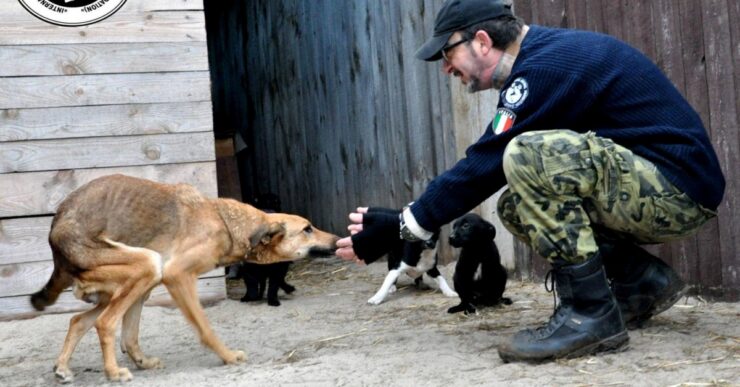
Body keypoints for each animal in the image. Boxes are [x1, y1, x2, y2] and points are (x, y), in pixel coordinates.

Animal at [30, 176, 338, 384]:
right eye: (307, 228)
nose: (337, 239)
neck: (225, 221)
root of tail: (55, 229)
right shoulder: (178, 276)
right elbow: (206, 328)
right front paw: (227, 357)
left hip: (141, 283)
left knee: (85, 322)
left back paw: (75, 367)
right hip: (148, 265)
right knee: (105, 323)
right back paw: (114, 372)